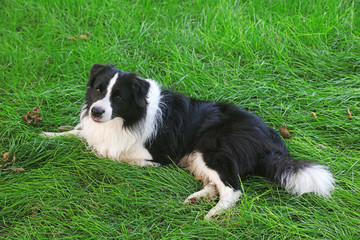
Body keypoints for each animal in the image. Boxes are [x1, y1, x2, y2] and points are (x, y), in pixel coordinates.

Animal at [42, 63, 334, 219]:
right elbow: (78, 133)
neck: (127, 117)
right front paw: (45, 135)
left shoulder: (152, 151)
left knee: (233, 189)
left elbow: (108, 153)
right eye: (98, 89)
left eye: (118, 97)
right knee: (217, 184)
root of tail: (272, 141)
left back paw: (213, 214)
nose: (96, 111)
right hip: (200, 155)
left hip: (211, 147)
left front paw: (146, 166)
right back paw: (198, 198)